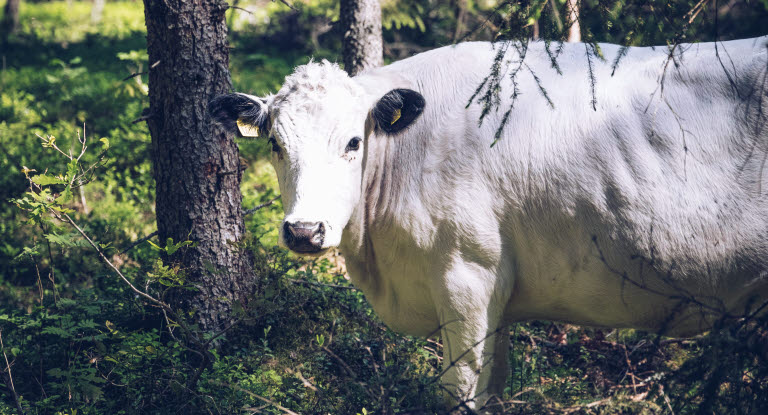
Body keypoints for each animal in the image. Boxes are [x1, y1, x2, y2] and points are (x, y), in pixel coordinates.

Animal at [210, 38, 768, 410]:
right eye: (275, 143)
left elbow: (459, 392)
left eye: (353, 142)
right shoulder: (499, 294)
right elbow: (493, 386)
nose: (304, 231)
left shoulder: (466, 276)